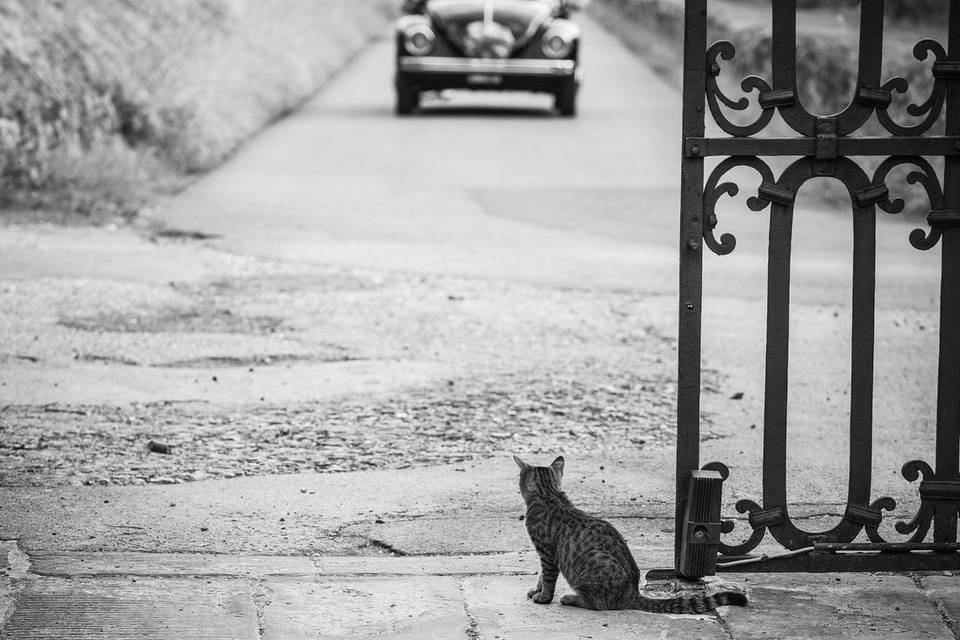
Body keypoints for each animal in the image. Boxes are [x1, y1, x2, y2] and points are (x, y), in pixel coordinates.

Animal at [512, 452, 748, 612]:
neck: (550, 495)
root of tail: (633, 593)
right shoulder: (546, 554)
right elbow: (541, 575)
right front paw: (537, 590)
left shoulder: (547, 552)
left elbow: (548, 577)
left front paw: (544, 596)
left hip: (593, 563)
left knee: (599, 604)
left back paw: (570, 598)